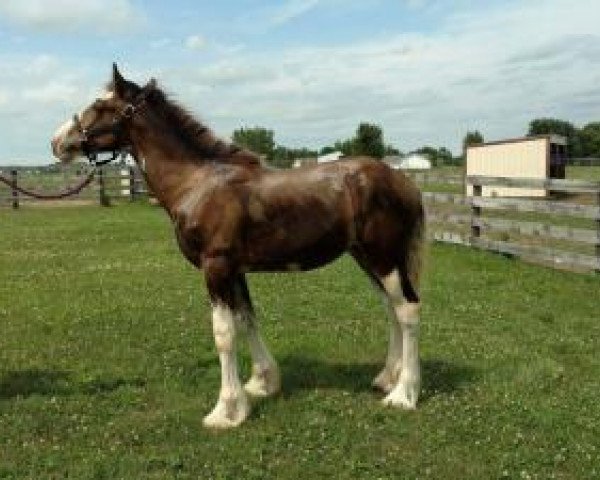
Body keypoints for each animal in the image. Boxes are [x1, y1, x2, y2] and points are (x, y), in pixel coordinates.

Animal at [51, 63, 426, 428]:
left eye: (101, 106)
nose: (58, 142)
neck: (198, 184)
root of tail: (402, 180)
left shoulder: (215, 267)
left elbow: (224, 333)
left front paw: (227, 410)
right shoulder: (235, 270)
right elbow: (246, 320)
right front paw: (262, 383)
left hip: (384, 257)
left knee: (407, 310)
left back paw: (403, 394)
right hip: (367, 258)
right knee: (391, 308)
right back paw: (387, 379)